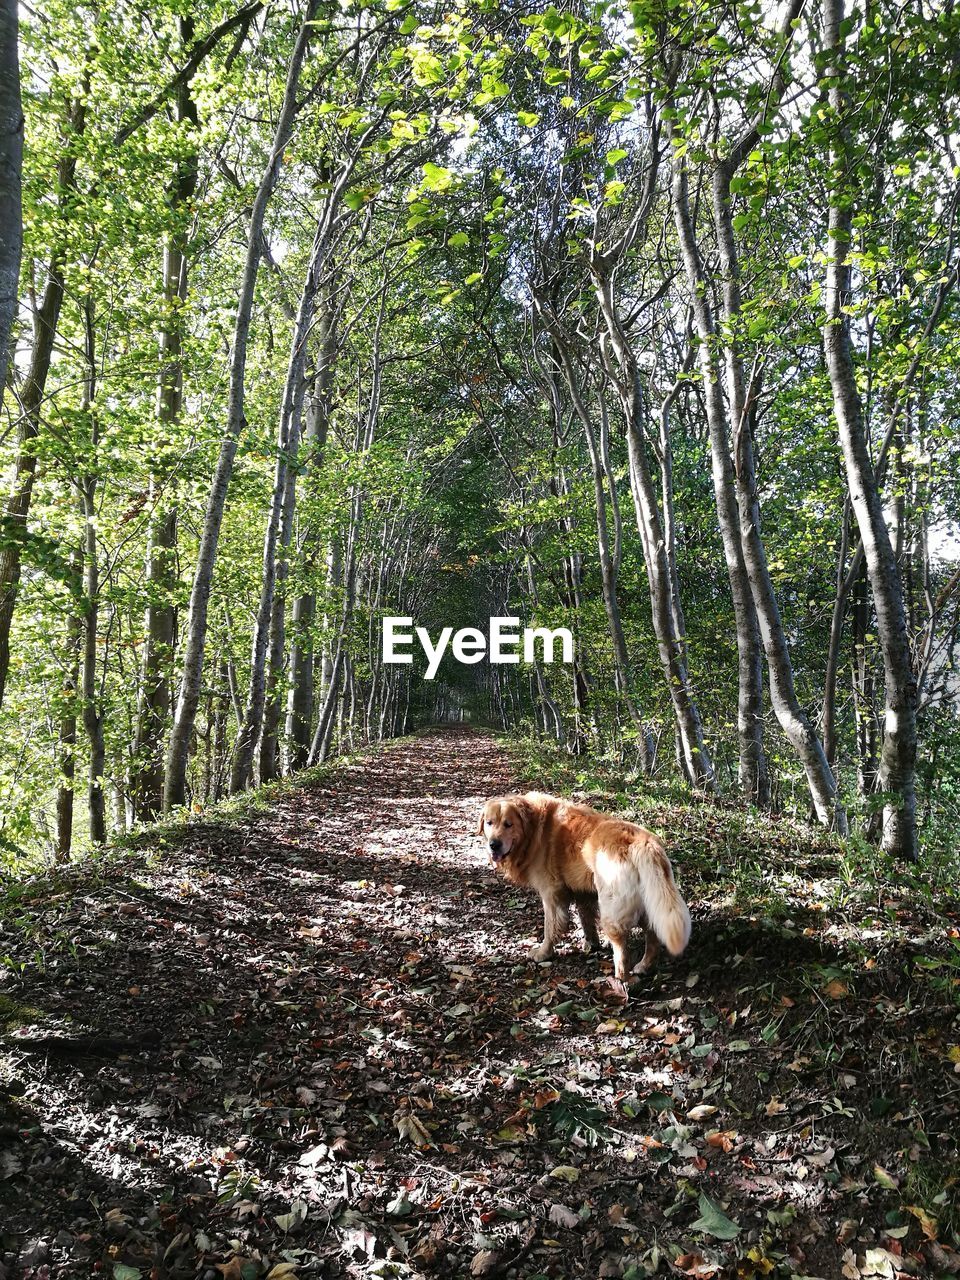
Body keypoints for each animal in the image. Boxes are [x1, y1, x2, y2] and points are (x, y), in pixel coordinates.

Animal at [478, 788, 691, 977]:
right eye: (489, 823)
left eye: (508, 824)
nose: (494, 844)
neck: (533, 829)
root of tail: (643, 842)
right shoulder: (582, 890)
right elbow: (586, 917)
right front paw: (591, 943)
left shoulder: (551, 892)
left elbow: (550, 926)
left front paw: (544, 952)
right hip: (648, 900)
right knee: (652, 935)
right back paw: (644, 966)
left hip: (612, 907)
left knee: (622, 948)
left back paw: (622, 979)